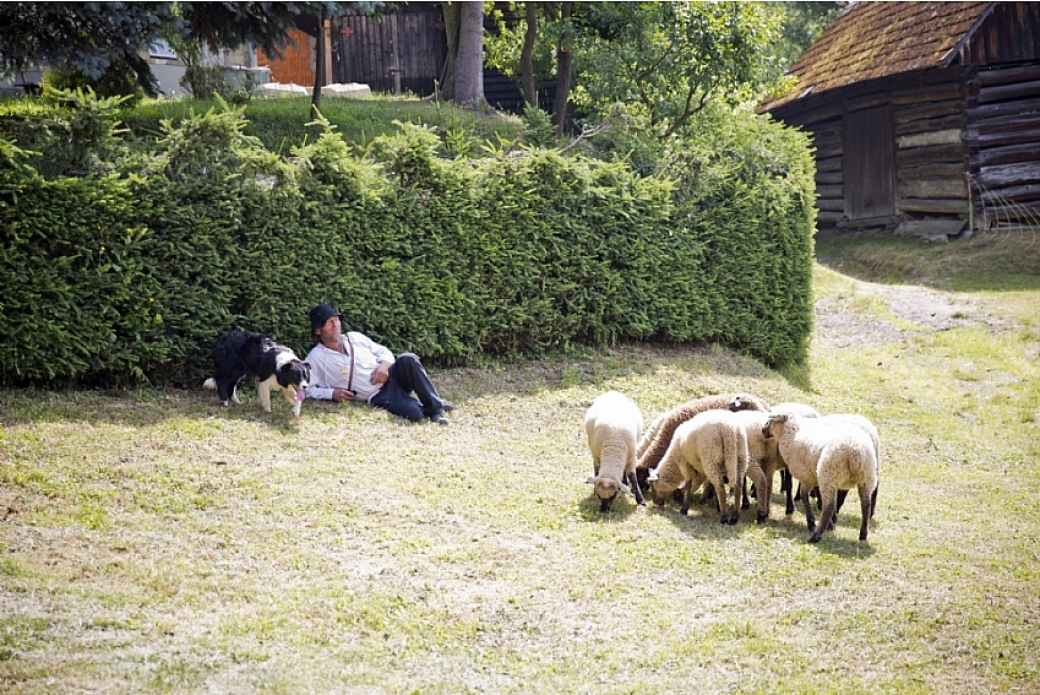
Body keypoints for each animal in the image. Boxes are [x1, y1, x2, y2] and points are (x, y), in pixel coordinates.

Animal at [765, 412, 877, 541]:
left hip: (829, 474)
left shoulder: (806, 476)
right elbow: (818, 494)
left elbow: (804, 496)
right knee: (866, 505)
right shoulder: (815, 475)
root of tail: (856, 452)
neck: (792, 434)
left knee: (829, 506)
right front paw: (829, 524)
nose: (762, 430)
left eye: (769, 421)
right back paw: (863, 535)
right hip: (866, 478)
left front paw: (812, 523)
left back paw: (816, 536)